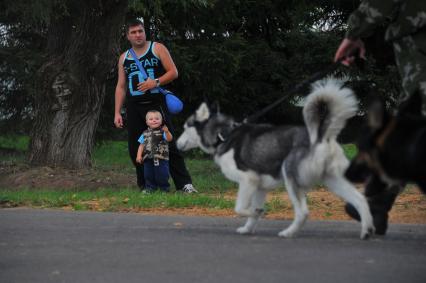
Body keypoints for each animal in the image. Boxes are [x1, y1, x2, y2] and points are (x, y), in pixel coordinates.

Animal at [176, 78, 372, 240]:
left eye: (185, 127)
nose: (176, 145)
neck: (223, 135)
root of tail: (321, 136)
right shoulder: (259, 187)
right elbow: (250, 212)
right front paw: (248, 227)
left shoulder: (248, 179)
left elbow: (240, 208)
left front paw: (256, 212)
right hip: (333, 180)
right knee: (360, 200)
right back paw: (366, 231)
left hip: (290, 177)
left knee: (303, 212)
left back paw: (288, 233)